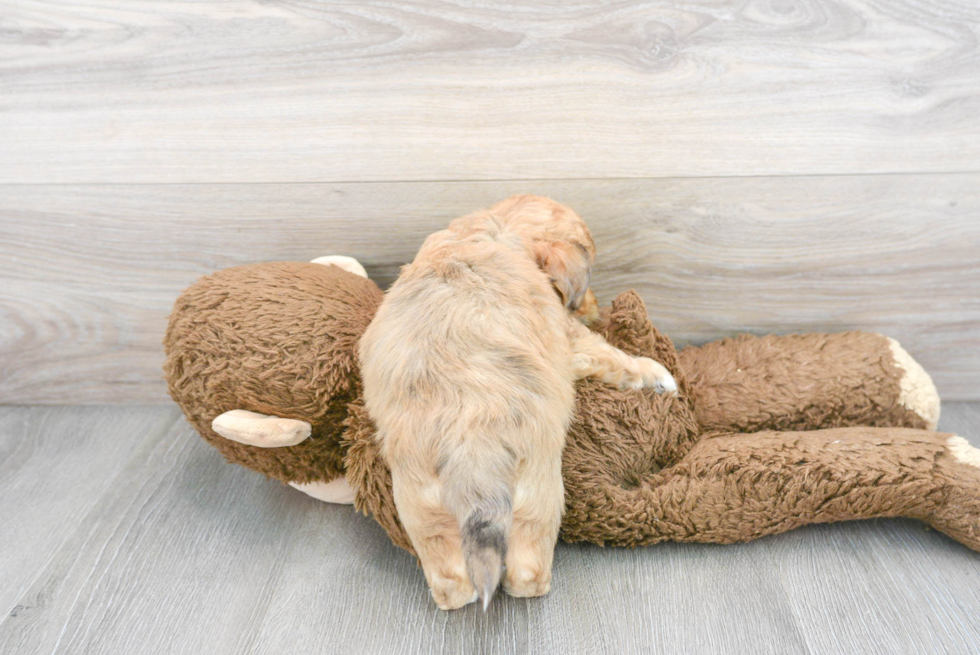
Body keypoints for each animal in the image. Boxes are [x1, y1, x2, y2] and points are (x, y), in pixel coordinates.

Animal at [358, 193, 672, 608]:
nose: (593, 305)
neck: (495, 230)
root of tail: (471, 452)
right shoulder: (574, 340)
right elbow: (613, 356)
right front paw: (656, 375)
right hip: (539, 495)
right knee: (526, 567)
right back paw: (537, 589)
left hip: (421, 507)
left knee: (449, 578)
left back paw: (453, 598)